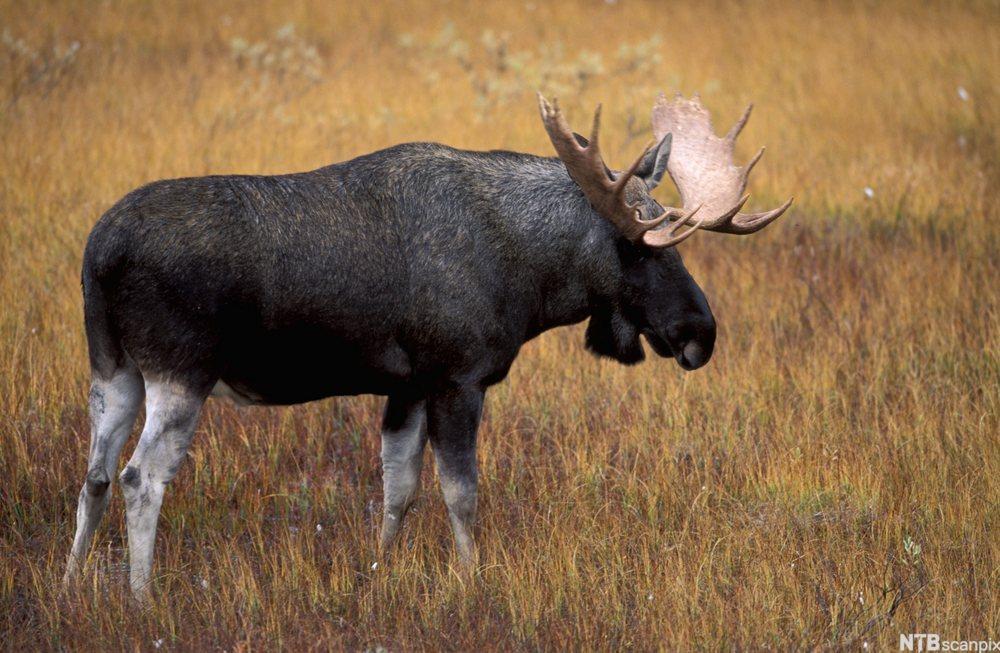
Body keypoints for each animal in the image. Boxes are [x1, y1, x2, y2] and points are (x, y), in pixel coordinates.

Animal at [64, 91, 796, 596]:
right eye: (635, 245)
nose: (700, 332)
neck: (529, 277)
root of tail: (100, 252)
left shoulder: (406, 385)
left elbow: (399, 489)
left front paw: (380, 572)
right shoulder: (456, 377)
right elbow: (461, 493)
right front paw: (473, 583)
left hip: (114, 368)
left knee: (95, 473)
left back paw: (72, 586)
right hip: (180, 371)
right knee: (140, 477)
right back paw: (141, 599)